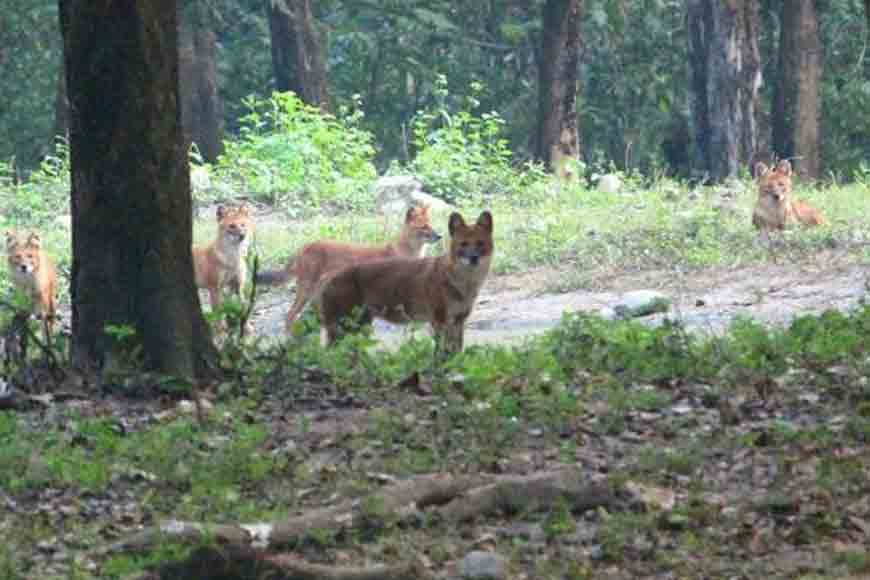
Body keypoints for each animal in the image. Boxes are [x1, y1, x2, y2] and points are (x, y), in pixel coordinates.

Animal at [255, 204, 440, 330]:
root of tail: (305, 246)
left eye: (431, 224)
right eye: (424, 227)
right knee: (289, 316)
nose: (439, 236)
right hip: (306, 290)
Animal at [318, 211, 498, 360]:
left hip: (360, 327)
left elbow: (456, 353)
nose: (473, 258)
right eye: (463, 244)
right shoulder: (439, 320)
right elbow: (441, 353)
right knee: (329, 354)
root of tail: (329, 276)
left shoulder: (459, 321)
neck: (464, 283)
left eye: (480, 243)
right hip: (343, 327)